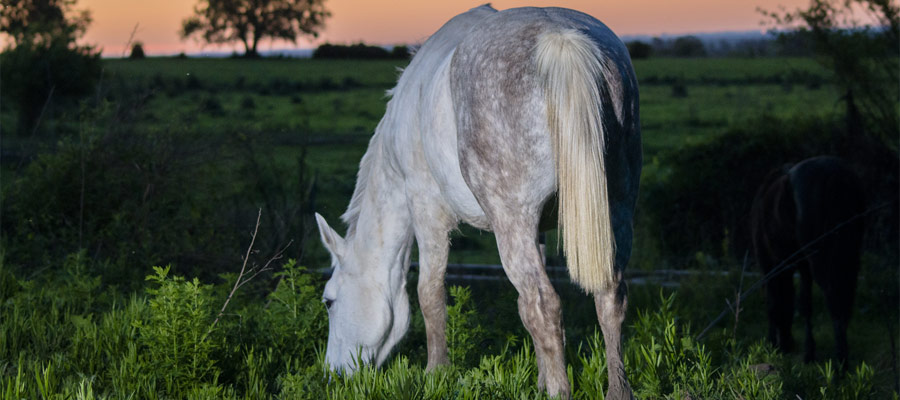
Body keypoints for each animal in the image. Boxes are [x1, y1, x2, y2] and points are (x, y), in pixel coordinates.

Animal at [314, 4, 640, 398]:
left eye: (329, 301)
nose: (332, 375)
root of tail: (559, 37)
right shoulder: (538, 230)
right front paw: (540, 377)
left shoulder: (426, 211)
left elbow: (429, 293)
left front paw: (435, 375)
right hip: (616, 209)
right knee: (608, 297)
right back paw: (615, 390)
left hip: (512, 220)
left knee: (542, 305)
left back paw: (558, 391)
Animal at [748, 155, 868, 368]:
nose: (786, 345)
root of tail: (835, 175)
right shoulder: (803, 267)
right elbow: (804, 304)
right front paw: (808, 352)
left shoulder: (770, 264)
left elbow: (776, 303)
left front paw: (805, 353)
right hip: (849, 254)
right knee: (845, 299)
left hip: (823, 260)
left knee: (834, 299)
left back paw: (841, 362)